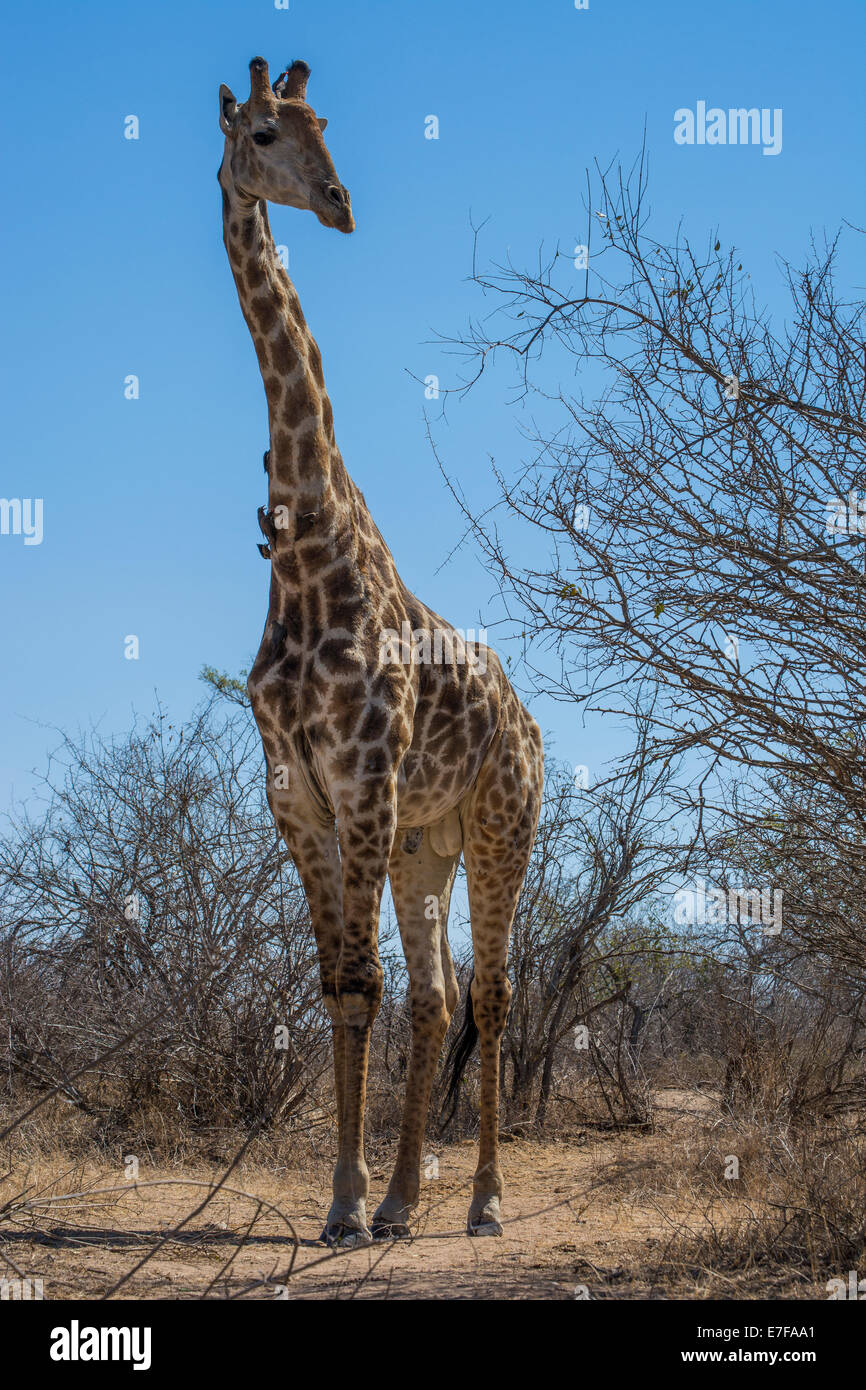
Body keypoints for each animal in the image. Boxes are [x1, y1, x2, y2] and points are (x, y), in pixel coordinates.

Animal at [216, 56, 542, 1251]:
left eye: (324, 122)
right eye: (264, 132)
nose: (339, 202)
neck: (304, 552)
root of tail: (533, 728)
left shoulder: (360, 782)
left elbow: (355, 984)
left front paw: (347, 1205)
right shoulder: (298, 798)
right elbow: (339, 988)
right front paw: (354, 1198)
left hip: (499, 832)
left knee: (490, 995)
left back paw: (482, 1201)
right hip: (423, 847)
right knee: (436, 998)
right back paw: (410, 1199)